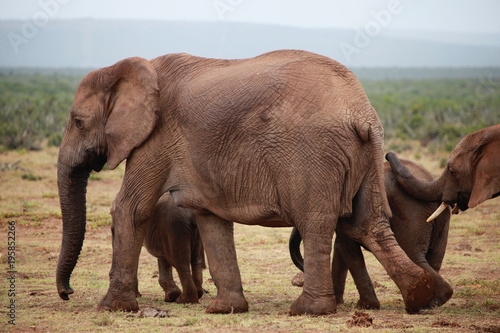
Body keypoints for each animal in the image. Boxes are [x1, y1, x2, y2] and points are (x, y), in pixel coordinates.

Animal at [290, 158, 454, 308]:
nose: (300, 276)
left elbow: (345, 247)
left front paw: (366, 306)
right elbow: (341, 247)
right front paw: (338, 302)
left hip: (410, 211)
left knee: (414, 256)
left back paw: (432, 299)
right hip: (442, 218)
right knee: (434, 257)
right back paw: (434, 301)